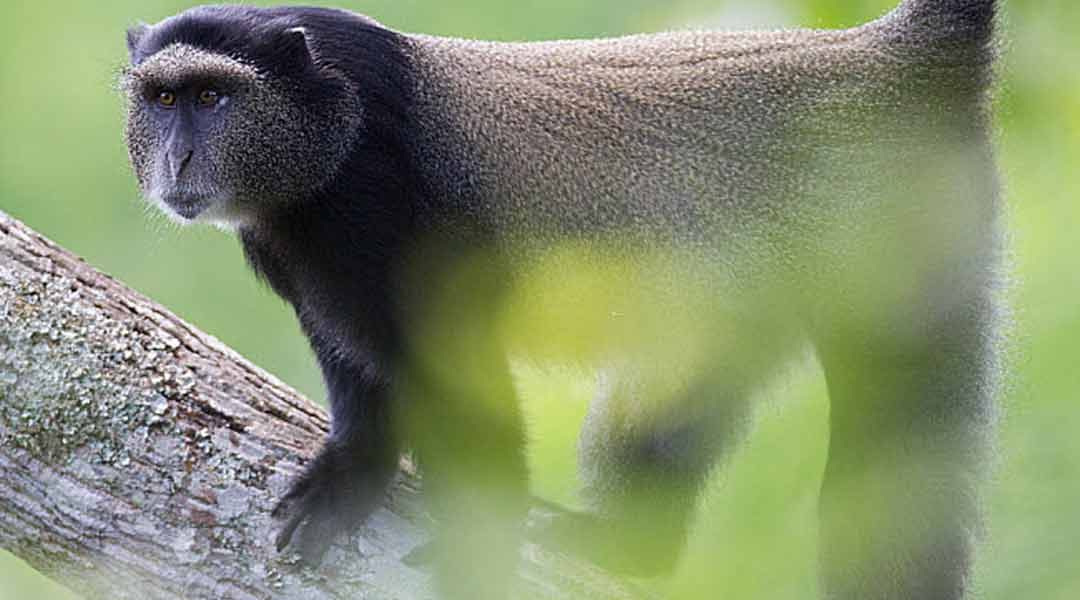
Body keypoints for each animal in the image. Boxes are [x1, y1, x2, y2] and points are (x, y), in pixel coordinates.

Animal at [123, 1, 1003, 598]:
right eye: (162, 101)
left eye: (211, 98)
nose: (178, 159)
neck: (326, 117)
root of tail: (888, 58)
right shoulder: (308, 265)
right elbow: (357, 366)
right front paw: (353, 471)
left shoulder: (379, 215)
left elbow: (454, 380)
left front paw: (482, 539)